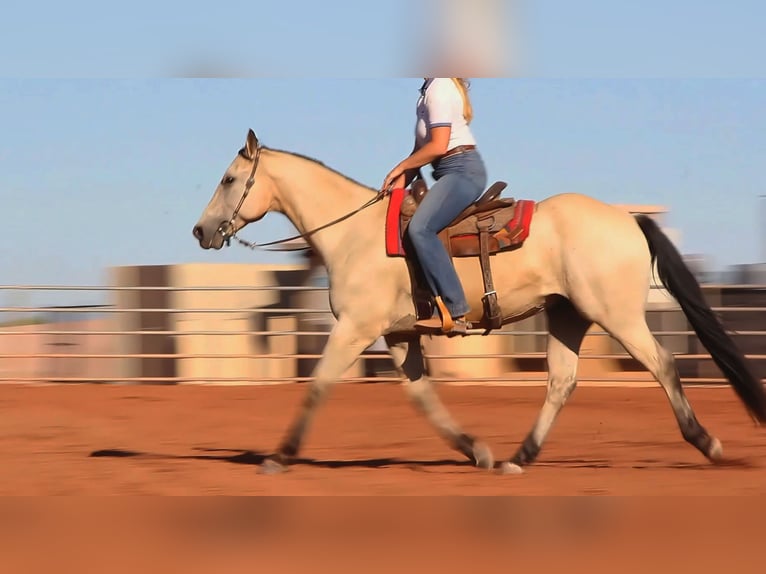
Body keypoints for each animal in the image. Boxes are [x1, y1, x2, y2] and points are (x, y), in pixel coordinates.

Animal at [192, 129, 766, 475]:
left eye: (228, 179)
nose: (200, 230)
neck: (354, 234)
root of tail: (628, 218)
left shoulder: (356, 327)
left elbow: (317, 386)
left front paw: (279, 456)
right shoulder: (398, 335)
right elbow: (423, 398)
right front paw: (477, 449)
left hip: (616, 314)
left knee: (662, 363)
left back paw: (707, 443)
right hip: (568, 315)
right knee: (561, 383)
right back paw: (518, 457)